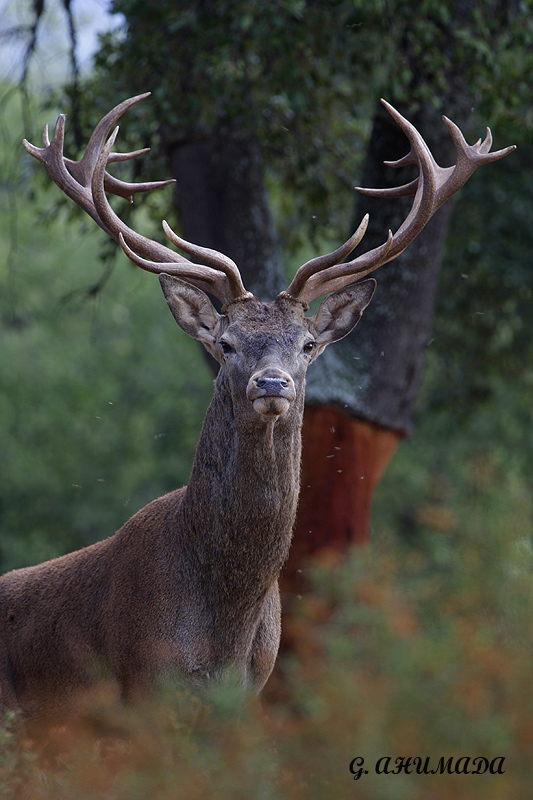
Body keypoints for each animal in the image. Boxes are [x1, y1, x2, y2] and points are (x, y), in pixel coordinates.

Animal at [0, 90, 512, 728]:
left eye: (308, 344)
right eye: (225, 343)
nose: (272, 381)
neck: (223, 630)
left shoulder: (250, 691)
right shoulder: (143, 687)